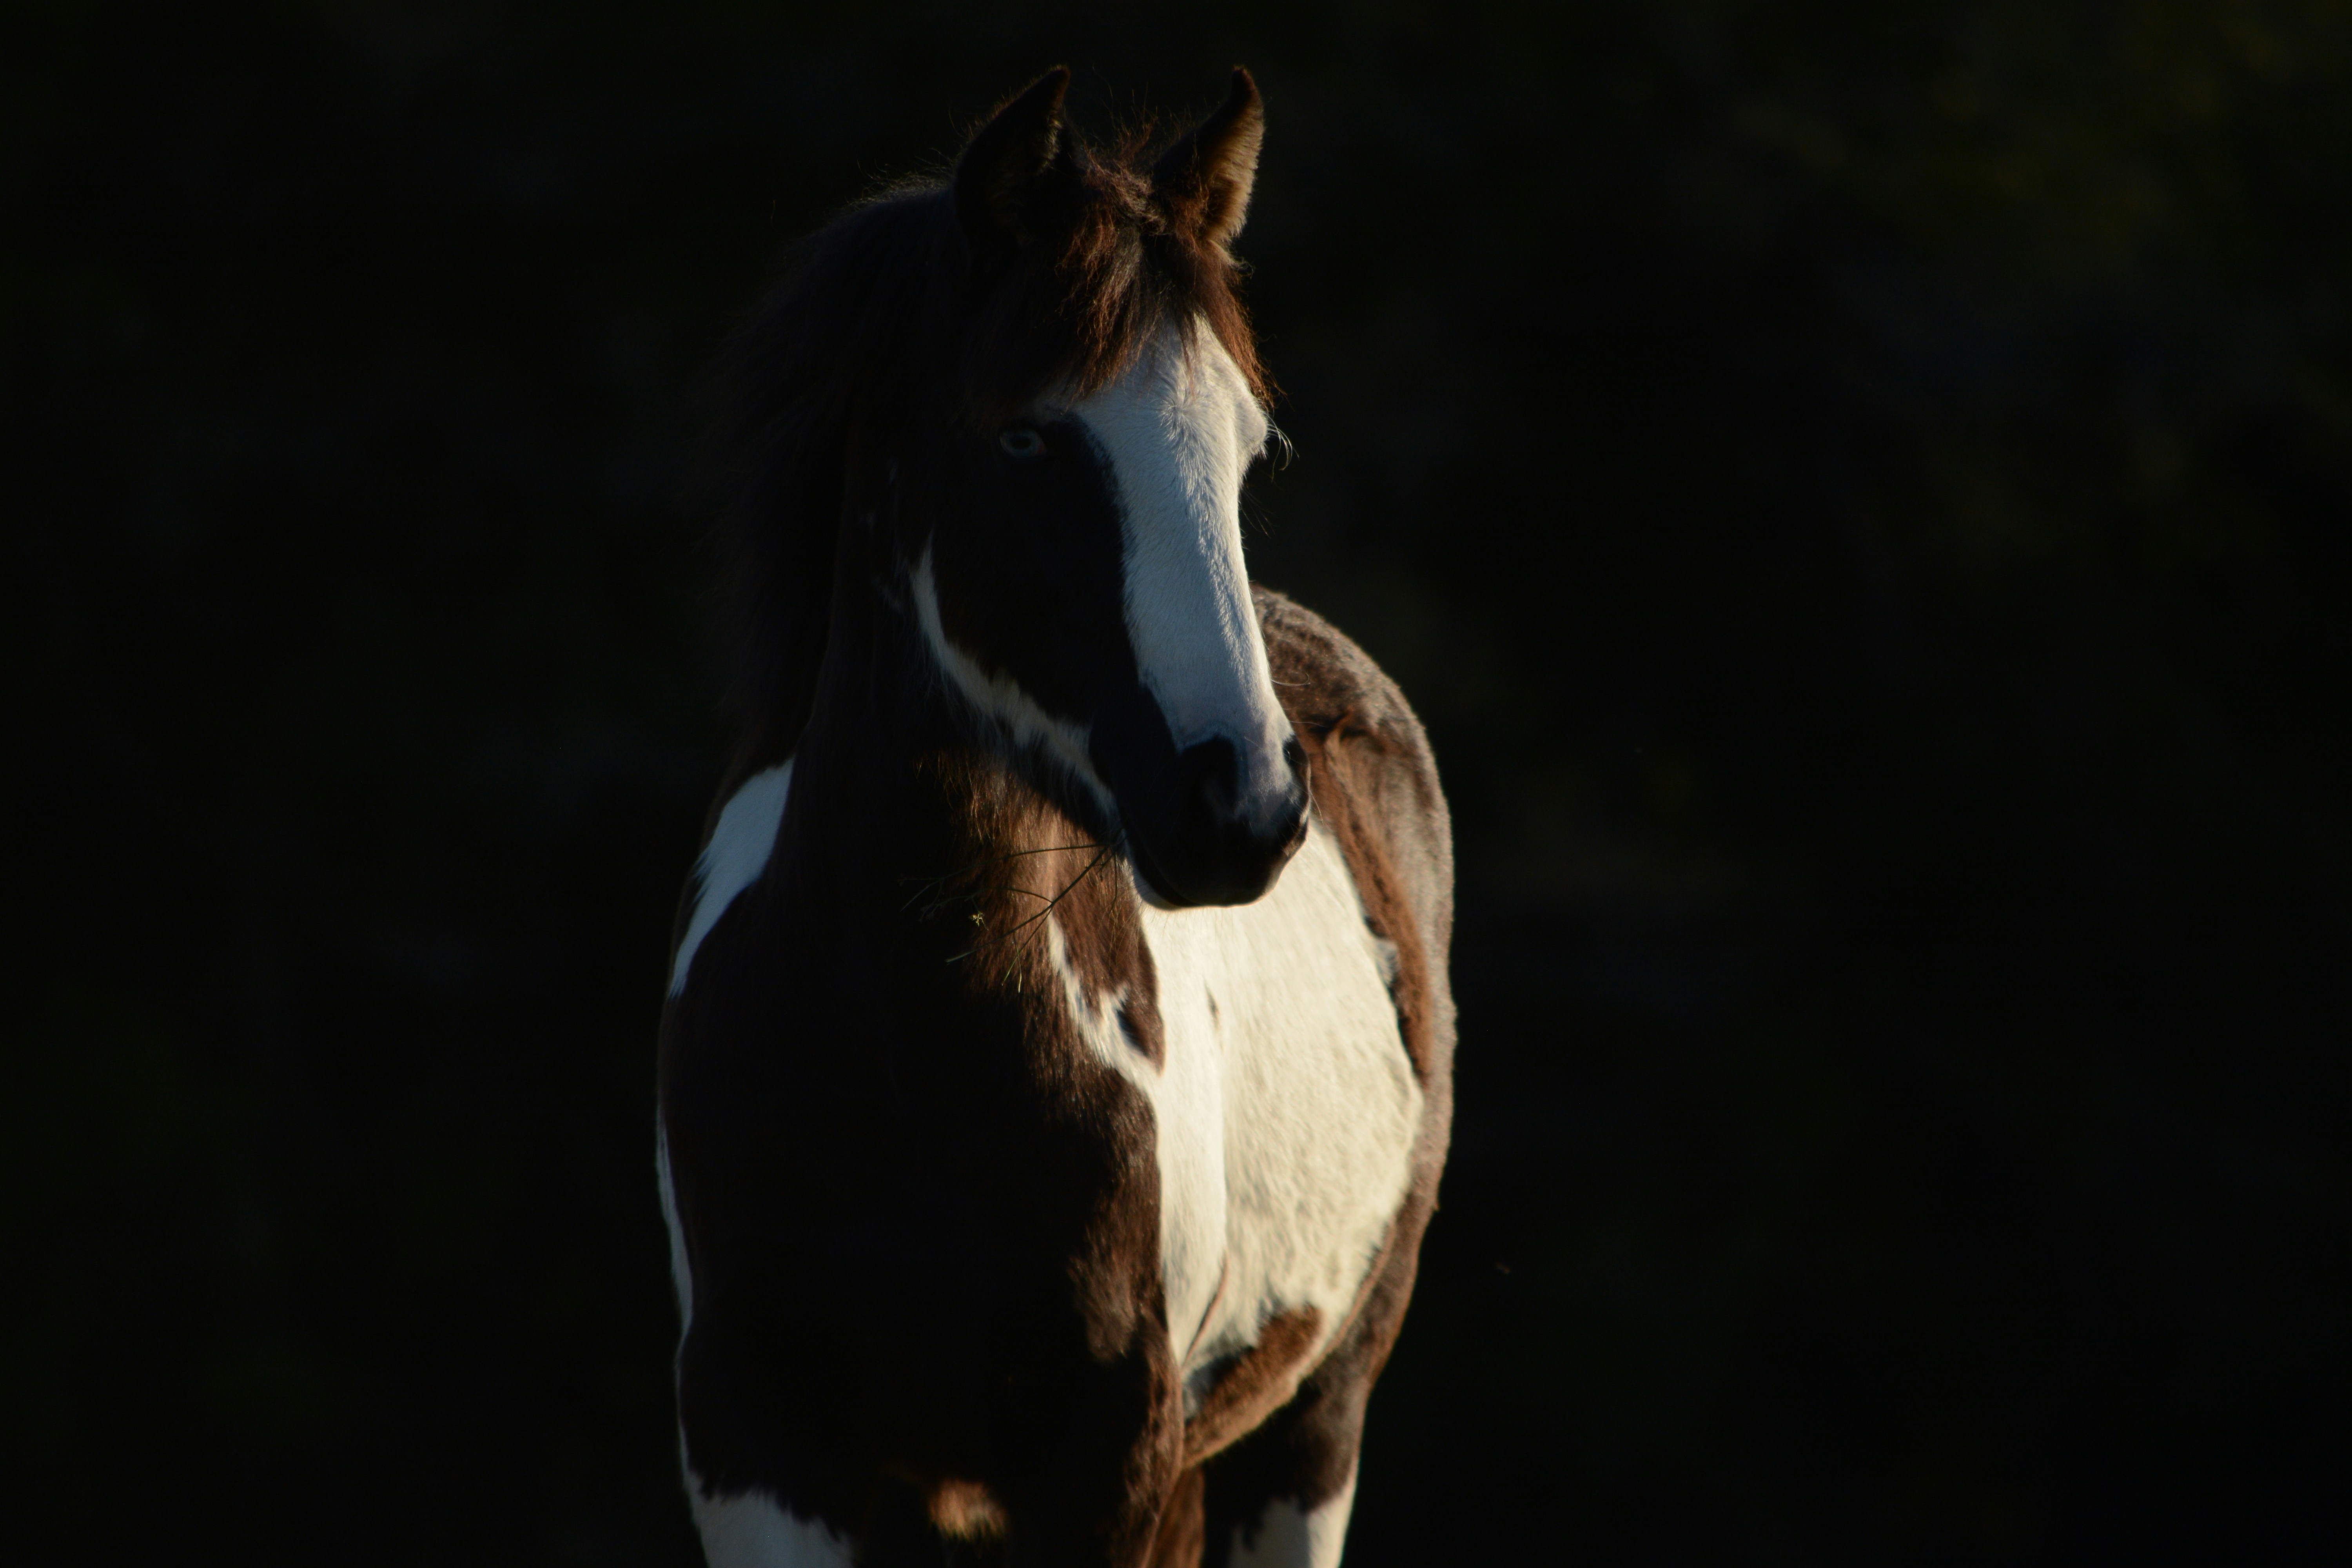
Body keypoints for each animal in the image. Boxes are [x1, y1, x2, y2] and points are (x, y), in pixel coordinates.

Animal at [657, 68, 1455, 1568]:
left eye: (1247, 451)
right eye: (1027, 437)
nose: (1241, 806)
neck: (905, 1049)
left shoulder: (1107, 1465)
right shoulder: (758, 1446)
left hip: (1309, 1436)